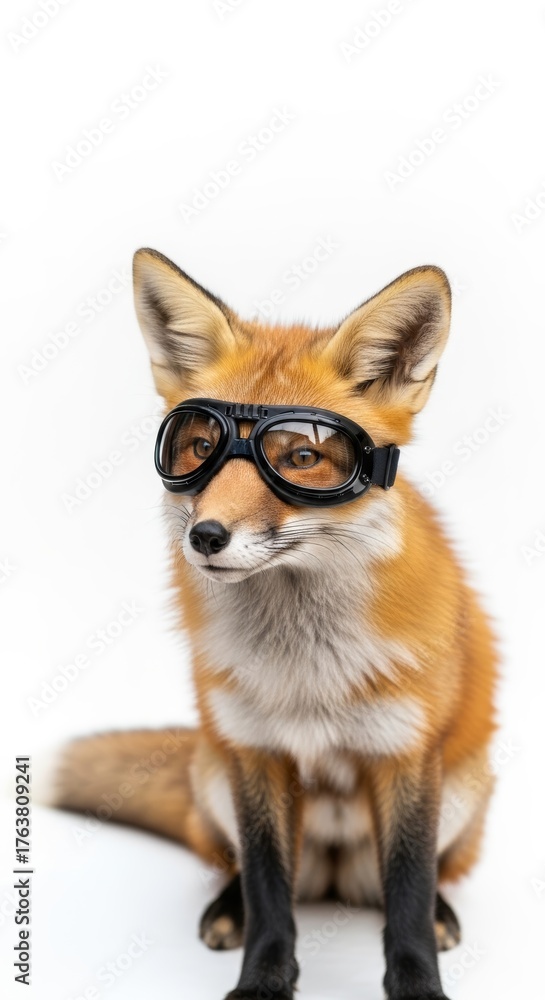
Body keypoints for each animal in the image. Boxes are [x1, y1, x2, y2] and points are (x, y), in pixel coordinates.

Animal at [53, 249, 497, 1000]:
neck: (306, 675)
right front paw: (261, 980)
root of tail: (334, 875)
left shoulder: (404, 755)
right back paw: (225, 906)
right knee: (249, 871)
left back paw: (442, 910)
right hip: (215, 773)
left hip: (464, 787)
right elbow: (267, 891)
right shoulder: (254, 751)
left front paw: (418, 984)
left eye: (302, 457)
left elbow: (407, 894)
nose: (204, 536)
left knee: (421, 877)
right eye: (197, 446)